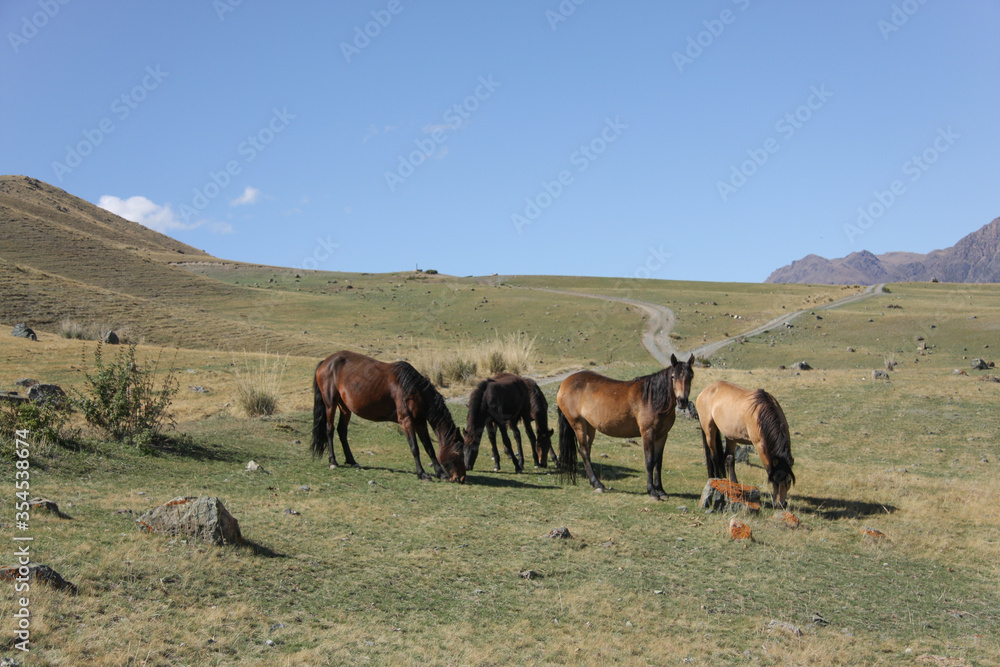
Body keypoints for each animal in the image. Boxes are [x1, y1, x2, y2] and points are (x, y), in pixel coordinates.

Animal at [311, 350, 465, 483]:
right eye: (458, 451)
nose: (461, 478)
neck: (413, 388)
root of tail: (326, 362)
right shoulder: (406, 421)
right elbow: (414, 448)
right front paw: (422, 473)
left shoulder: (420, 421)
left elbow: (429, 448)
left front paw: (441, 473)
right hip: (330, 404)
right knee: (330, 429)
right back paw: (333, 461)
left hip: (345, 408)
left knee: (342, 431)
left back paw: (352, 461)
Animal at [556, 354, 694, 499]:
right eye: (673, 377)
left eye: (690, 376)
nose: (682, 401)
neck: (652, 398)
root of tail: (565, 383)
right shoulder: (648, 433)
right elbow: (649, 461)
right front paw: (652, 491)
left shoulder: (662, 435)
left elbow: (658, 462)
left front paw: (661, 491)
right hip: (578, 424)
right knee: (583, 451)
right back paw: (597, 484)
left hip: (590, 427)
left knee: (587, 451)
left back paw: (595, 483)